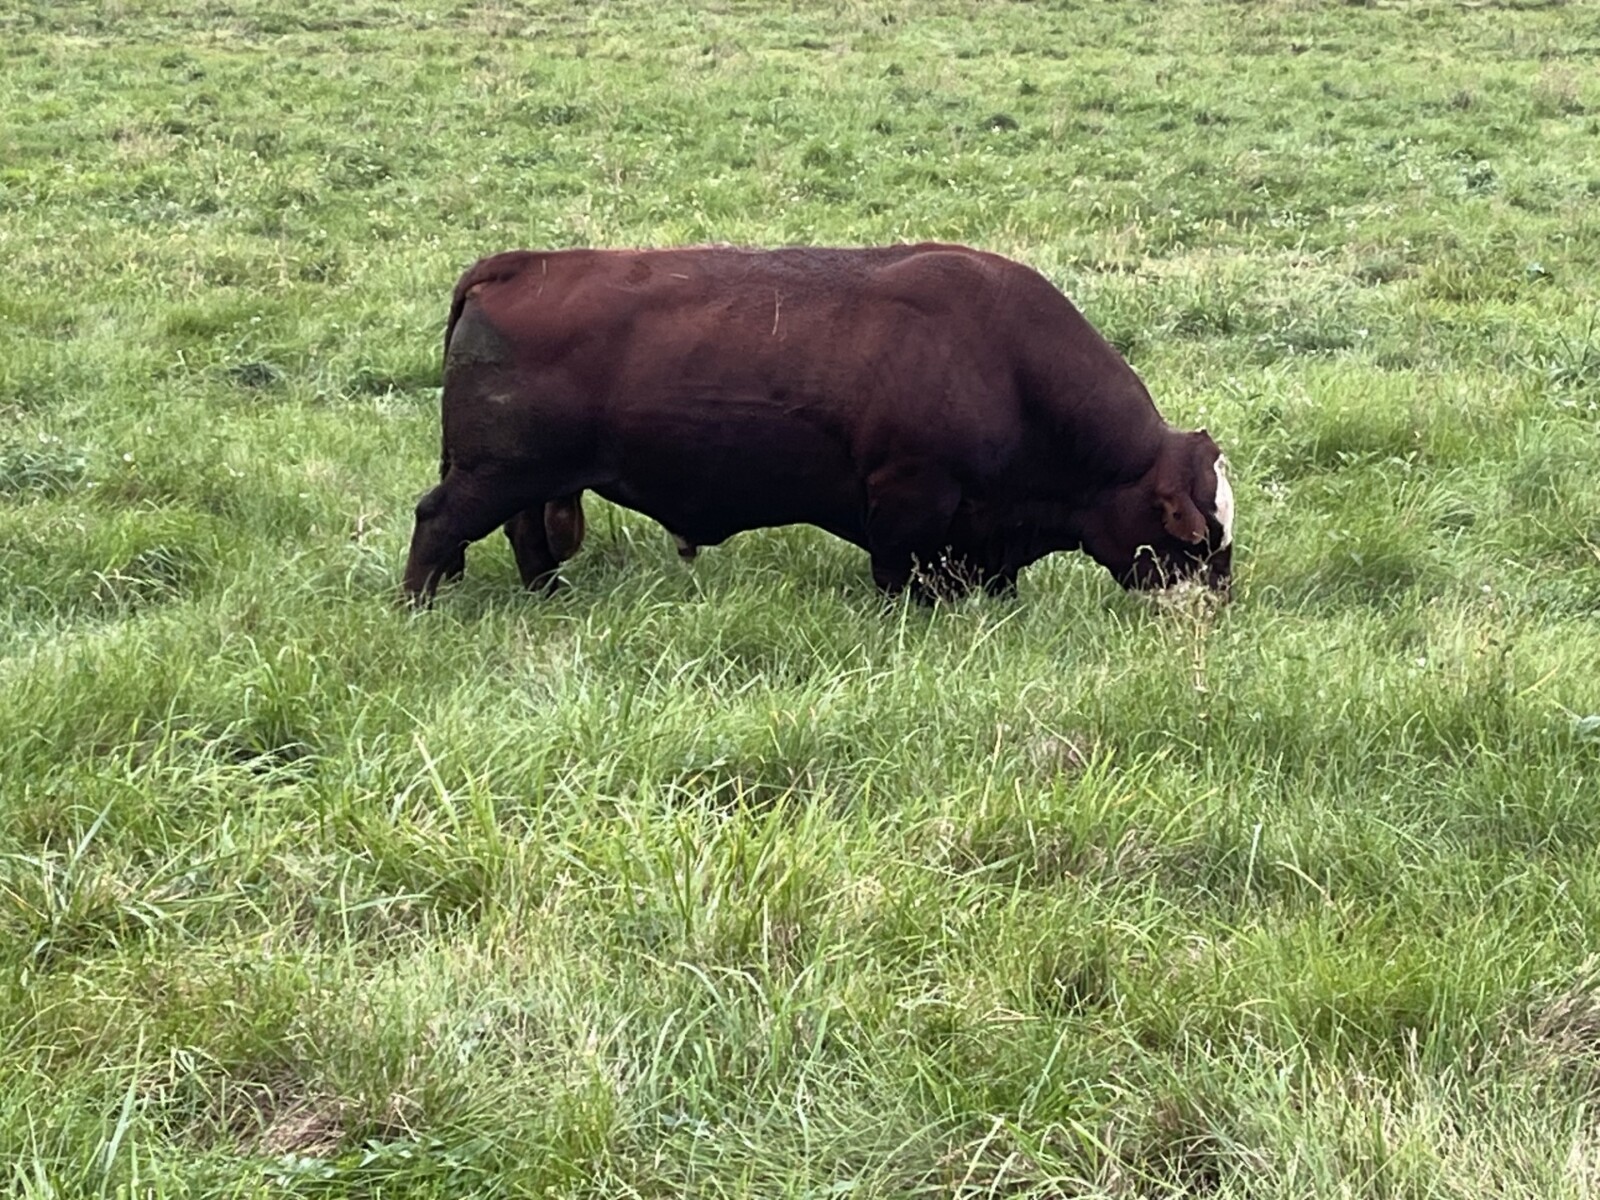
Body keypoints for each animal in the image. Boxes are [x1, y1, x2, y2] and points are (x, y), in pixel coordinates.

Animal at [403, 243, 1234, 605]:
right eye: (1199, 536)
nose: (1218, 605)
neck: (1008, 366)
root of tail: (515, 263)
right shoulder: (909, 502)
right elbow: (899, 575)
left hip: (521, 480)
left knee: (523, 535)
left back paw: (550, 596)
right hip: (496, 474)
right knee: (437, 521)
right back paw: (420, 607)